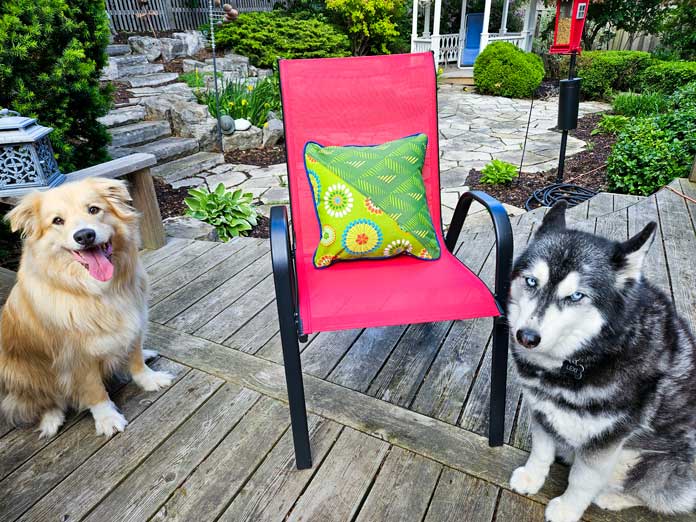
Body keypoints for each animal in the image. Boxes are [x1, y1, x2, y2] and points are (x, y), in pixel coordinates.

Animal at [0, 177, 173, 436]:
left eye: (93, 209)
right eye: (57, 221)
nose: (84, 236)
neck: (98, 291)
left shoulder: (134, 324)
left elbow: (135, 359)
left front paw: (148, 379)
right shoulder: (75, 357)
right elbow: (94, 390)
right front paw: (107, 417)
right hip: (19, 372)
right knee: (43, 400)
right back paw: (51, 419)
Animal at [506, 201, 696, 520]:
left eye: (575, 296)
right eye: (531, 281)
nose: (527, 337)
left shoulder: (607, 439)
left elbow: (583, 479)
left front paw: (568, 508)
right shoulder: (541, 410)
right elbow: (541, 449)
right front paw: (532, 477)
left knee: (658, 494)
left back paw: (613, 498)